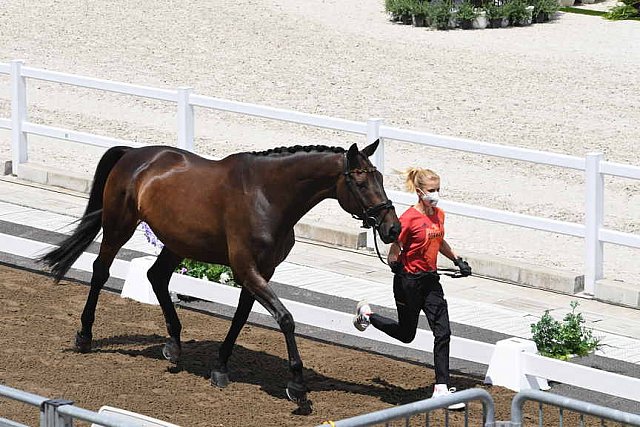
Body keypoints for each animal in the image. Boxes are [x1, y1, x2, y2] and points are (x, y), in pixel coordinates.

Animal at [38, 141, 400, 414]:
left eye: (381, 177)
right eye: (360, 181)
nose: (392, 228)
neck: (267, 196)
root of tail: (134, 154)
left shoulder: (260, 272)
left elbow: (240, 318)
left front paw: (220, 368)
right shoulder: (247, 269)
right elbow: (286, 319)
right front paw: (297, 386)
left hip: (176, 242)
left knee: (157, 277)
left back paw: (173, 346)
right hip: (118, 227)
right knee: (101, 271)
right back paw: (84, 336)